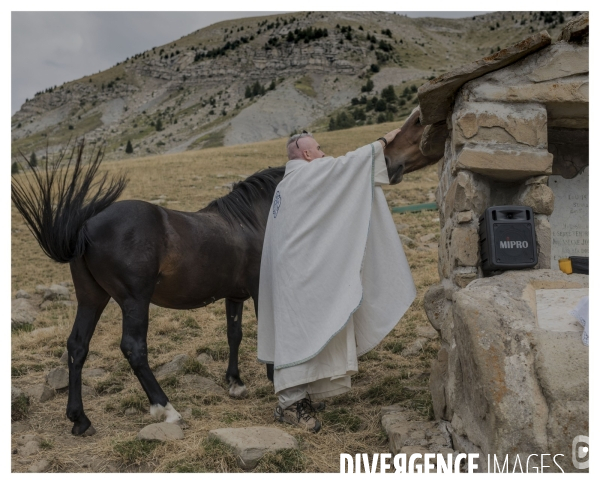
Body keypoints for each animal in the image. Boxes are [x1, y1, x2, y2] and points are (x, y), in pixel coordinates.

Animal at [11, 108, 438, 434]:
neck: (255, 217)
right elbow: (264, 332)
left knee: (77, 348)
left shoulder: (234, 294)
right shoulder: (261, 288)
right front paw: (275, 380)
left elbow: (234, 334)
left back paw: (80, 419)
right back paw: (165, 409)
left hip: (92, 297)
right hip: (134, 300)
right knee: (133, 348)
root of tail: (86, 225)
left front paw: (235, 382)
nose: (393, 162)